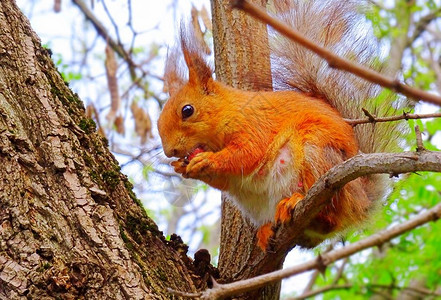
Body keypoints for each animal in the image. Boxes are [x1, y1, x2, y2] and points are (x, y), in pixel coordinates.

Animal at [156, 0, 398, 251]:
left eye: (187, 110)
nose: (170, 151)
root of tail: (362, 201)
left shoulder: (255, 125)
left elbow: (247, 153)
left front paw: (208, 160)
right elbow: (223, 179)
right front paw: (182, 167)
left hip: (318, 153)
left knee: (329, 214)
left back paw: (298, 202)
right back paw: (267, 230)